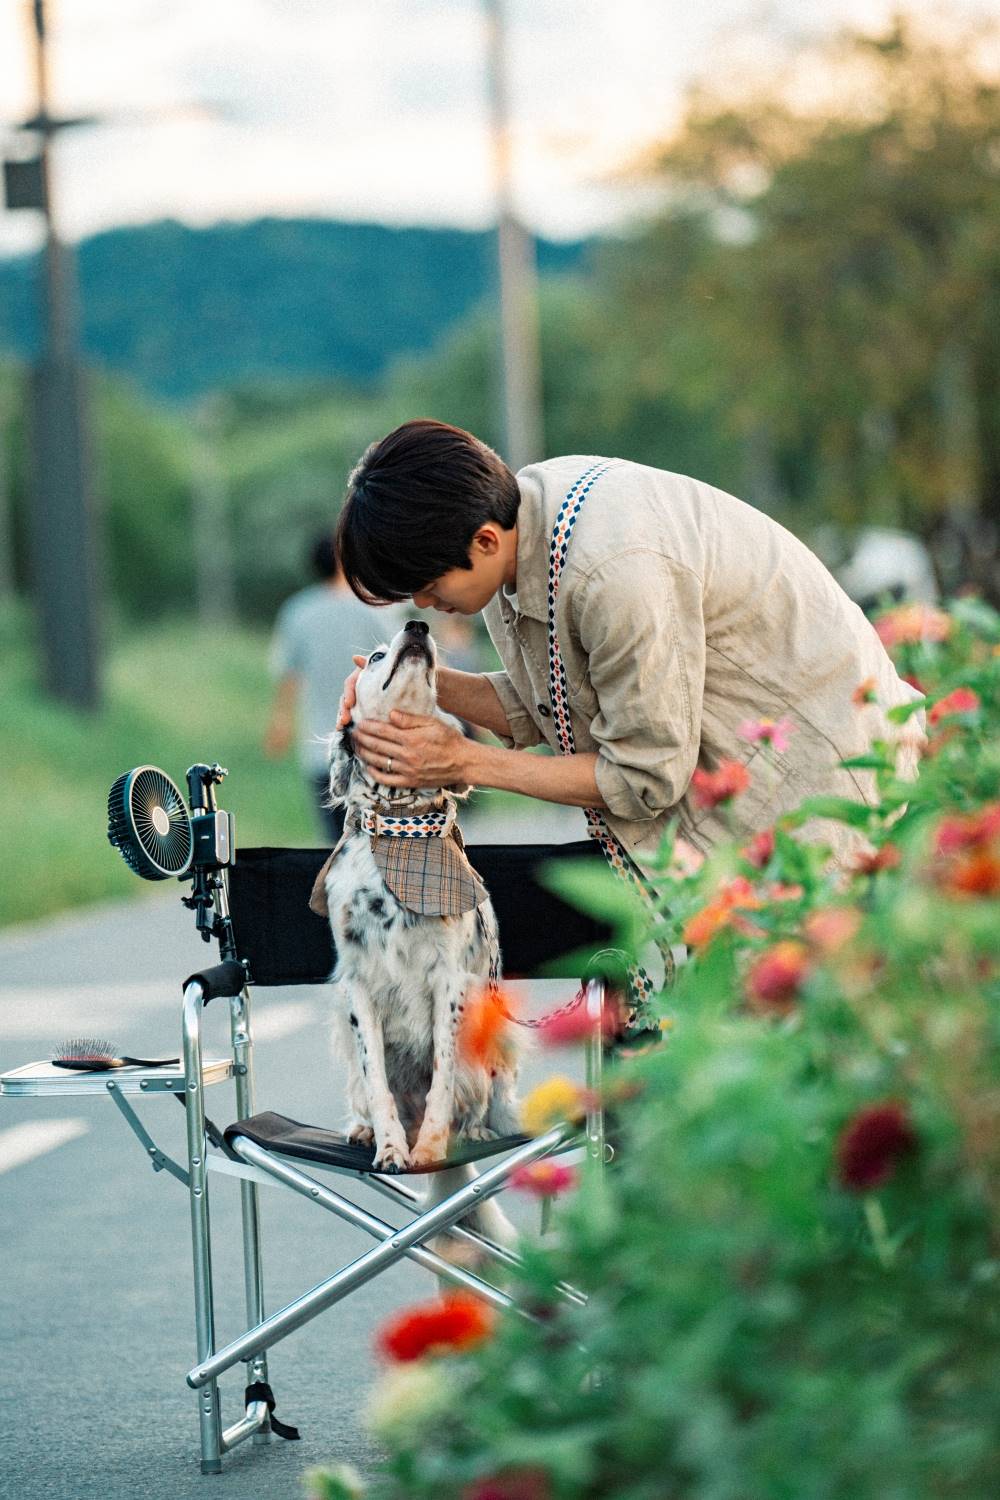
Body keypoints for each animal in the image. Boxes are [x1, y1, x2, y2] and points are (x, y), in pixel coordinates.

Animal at [320, 621, 524, 1194]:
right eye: (374, 657)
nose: (417, 627)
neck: (400, 829)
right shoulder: (356, 986)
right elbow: (378, 1082)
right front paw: (391, 1148)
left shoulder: (450, 981)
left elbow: (443, 1079)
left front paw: (431, 1148)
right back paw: (364, 1129)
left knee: (481, 1097)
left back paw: (475, 1130)